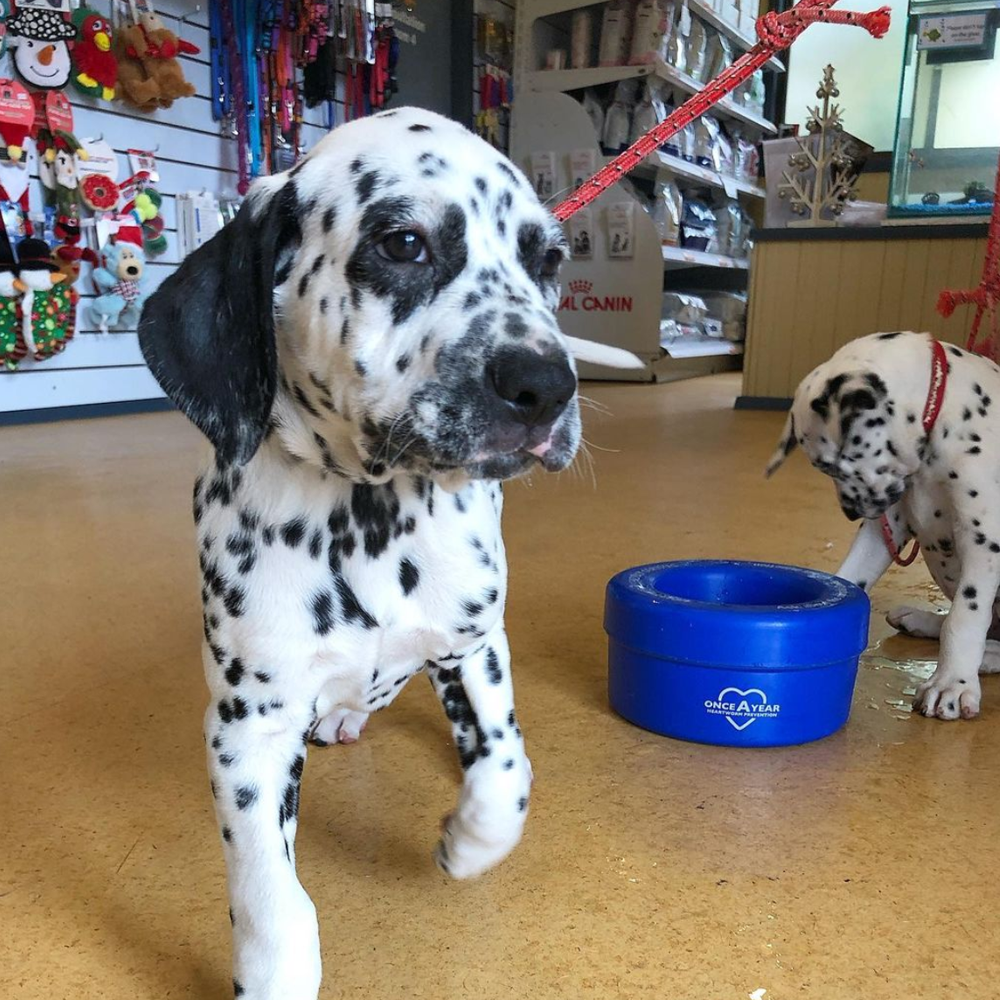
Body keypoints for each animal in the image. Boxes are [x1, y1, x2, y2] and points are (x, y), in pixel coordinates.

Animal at [137, 105, 640, 996]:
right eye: (403, 243)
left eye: (547, 259)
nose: (549, 385)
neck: (368, 517)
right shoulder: (248, 730)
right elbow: (271, 895)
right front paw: (275, 970)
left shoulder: (474, 648)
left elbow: (505, 770)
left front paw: (469, 843)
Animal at [764, 332, 1000, 724]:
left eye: (832, 466)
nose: (849, 512)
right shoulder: (885, 527)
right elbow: (851, 575)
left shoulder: (982, 538)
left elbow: (964, 617)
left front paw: (951, 683)